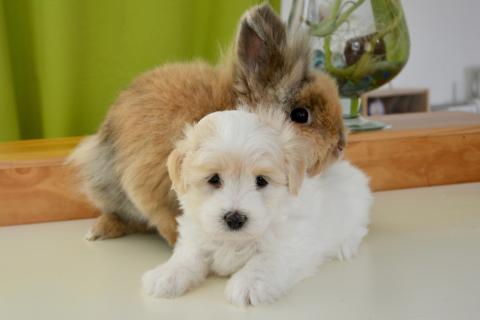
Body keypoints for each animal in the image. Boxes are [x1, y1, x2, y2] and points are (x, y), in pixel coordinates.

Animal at [141, 109, 374, 306]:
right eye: (214, 179)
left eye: (261, 181)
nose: (235, 218)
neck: (234, 241)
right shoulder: (197, 235)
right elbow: (188, 255)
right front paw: (167, 274)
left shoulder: (290, 243)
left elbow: (265, 260)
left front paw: (249, 284)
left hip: (355, 210)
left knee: (358, 230)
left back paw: (345, 246)